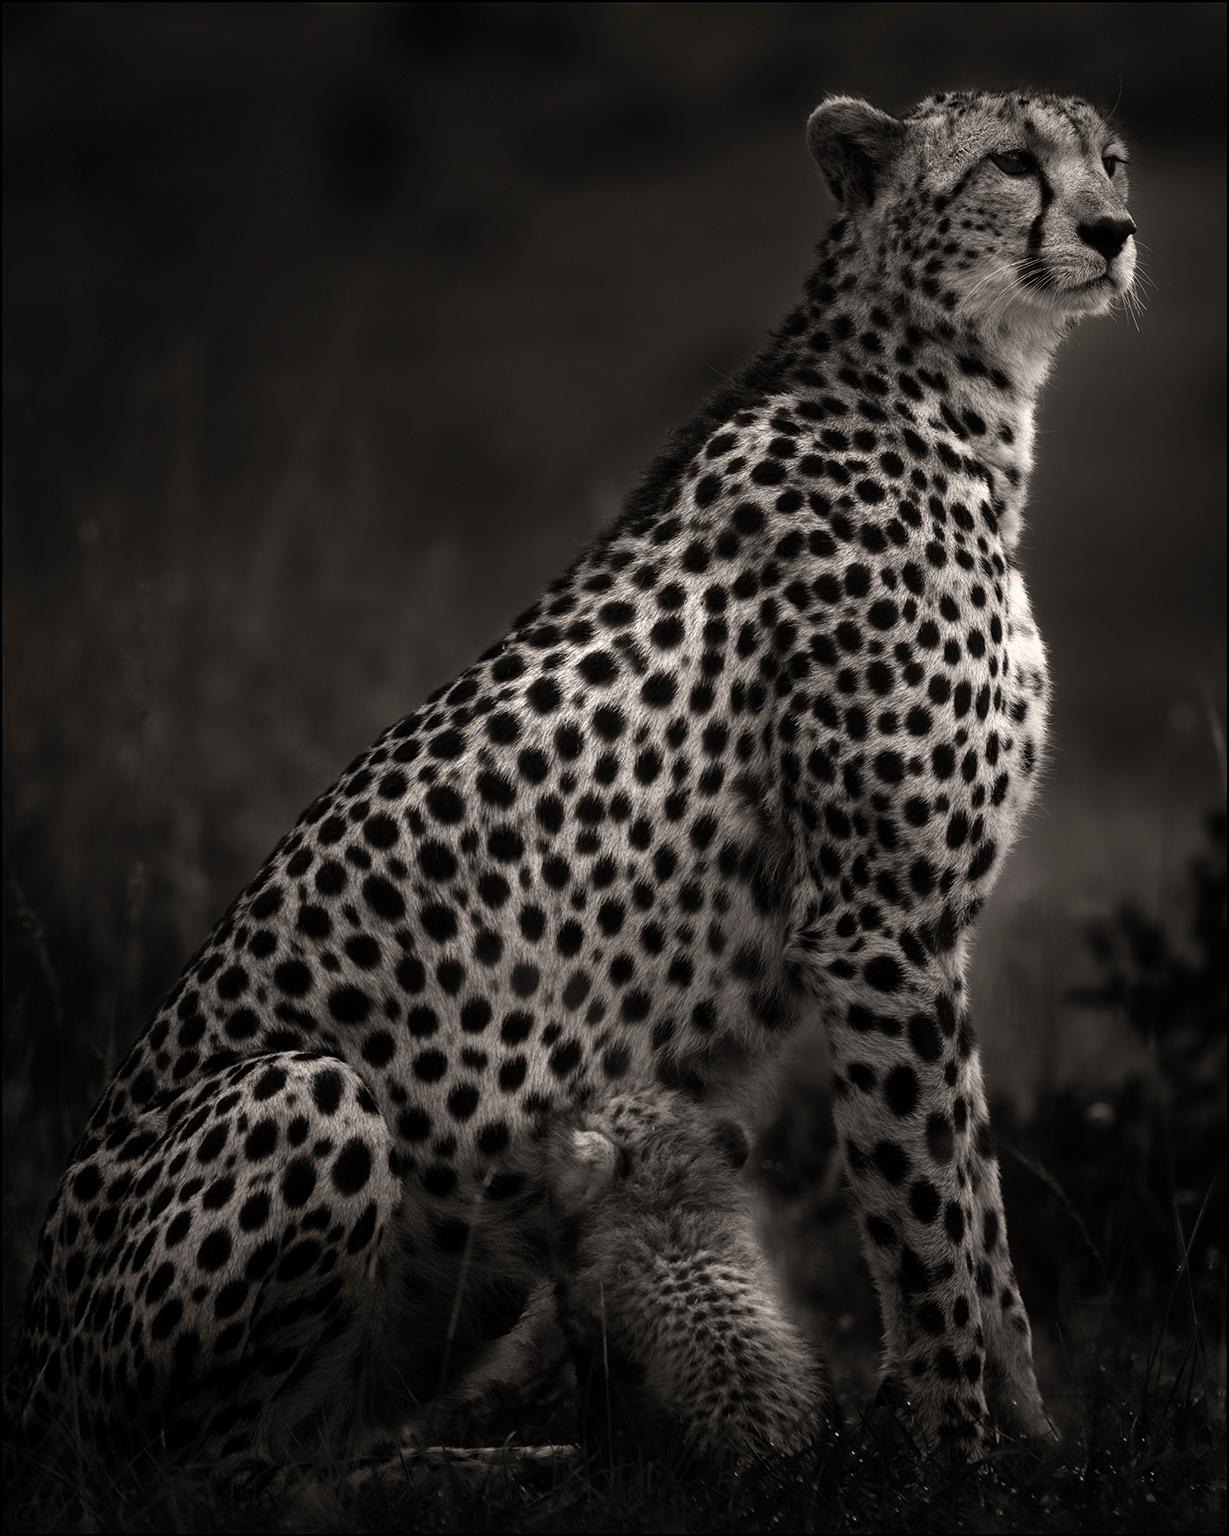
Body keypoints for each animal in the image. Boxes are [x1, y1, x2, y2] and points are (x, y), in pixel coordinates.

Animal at [14, 89, 1136, 1468]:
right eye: (1012, 161)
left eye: (1109, 160)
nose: (1112, 229)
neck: (957, 401)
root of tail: (27, 1364)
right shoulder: (877, 923)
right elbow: (925, 1214)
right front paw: (947, 1452)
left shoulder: (923, 931)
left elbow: (977, 1212)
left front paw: (1027, 1440)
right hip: (303, 1094)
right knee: (208, 1467)